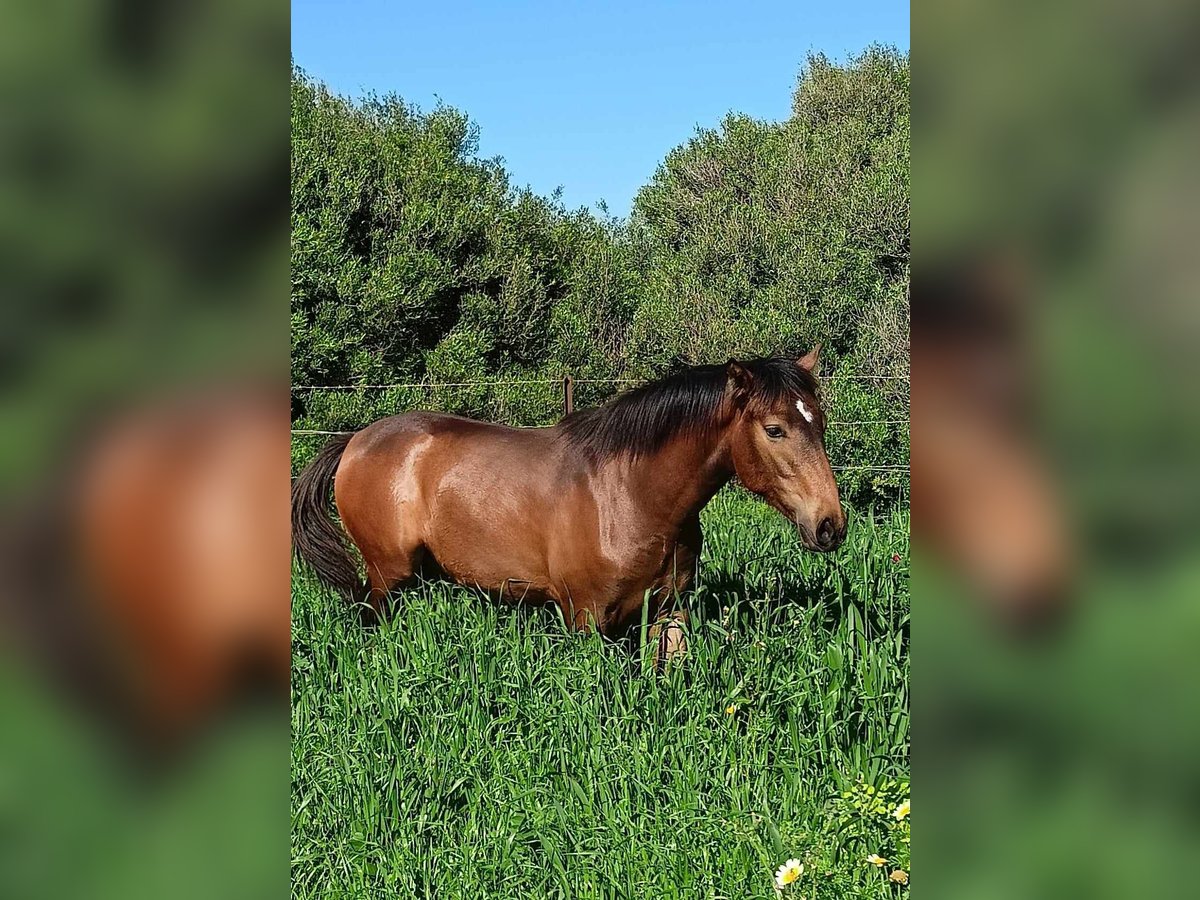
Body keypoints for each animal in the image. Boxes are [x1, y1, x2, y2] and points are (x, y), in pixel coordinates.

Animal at [292, 352, 844, 648]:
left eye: (818, 421)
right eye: (774, 429)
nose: (830, 525)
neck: (630, 495)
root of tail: (355, 441)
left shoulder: (668, 611)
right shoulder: (585, 618)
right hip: (386, 577)